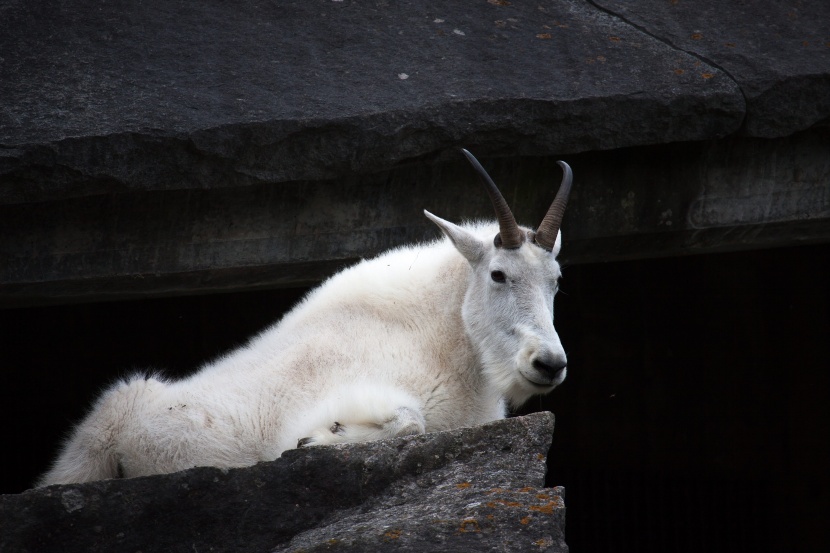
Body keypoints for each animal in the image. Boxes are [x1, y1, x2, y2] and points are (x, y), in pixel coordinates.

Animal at [37, 149, 572, 486]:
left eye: (556, 280)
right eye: (499, 274)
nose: (549, 364)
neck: (445, 345)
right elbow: (409, 420)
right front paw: (318, 439)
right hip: (93, 444)